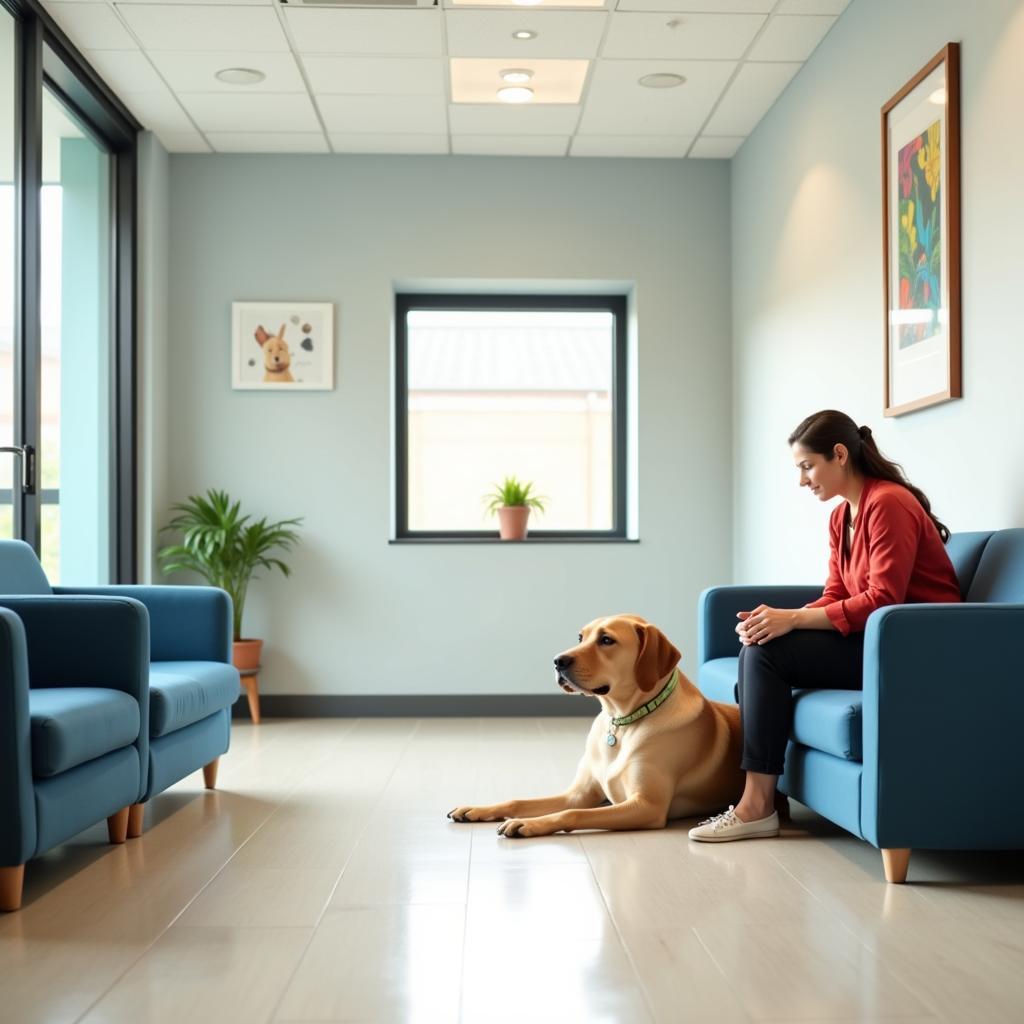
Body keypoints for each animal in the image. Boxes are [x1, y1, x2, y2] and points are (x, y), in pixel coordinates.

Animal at [448, 610, 761, 835]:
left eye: (607, 640)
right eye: (580, 637)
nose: (557, 661)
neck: (622, 722)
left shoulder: (646, 805)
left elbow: (572, 813)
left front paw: (529, 823)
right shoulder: (579, 794)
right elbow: (520, 801)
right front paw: (477, 809)